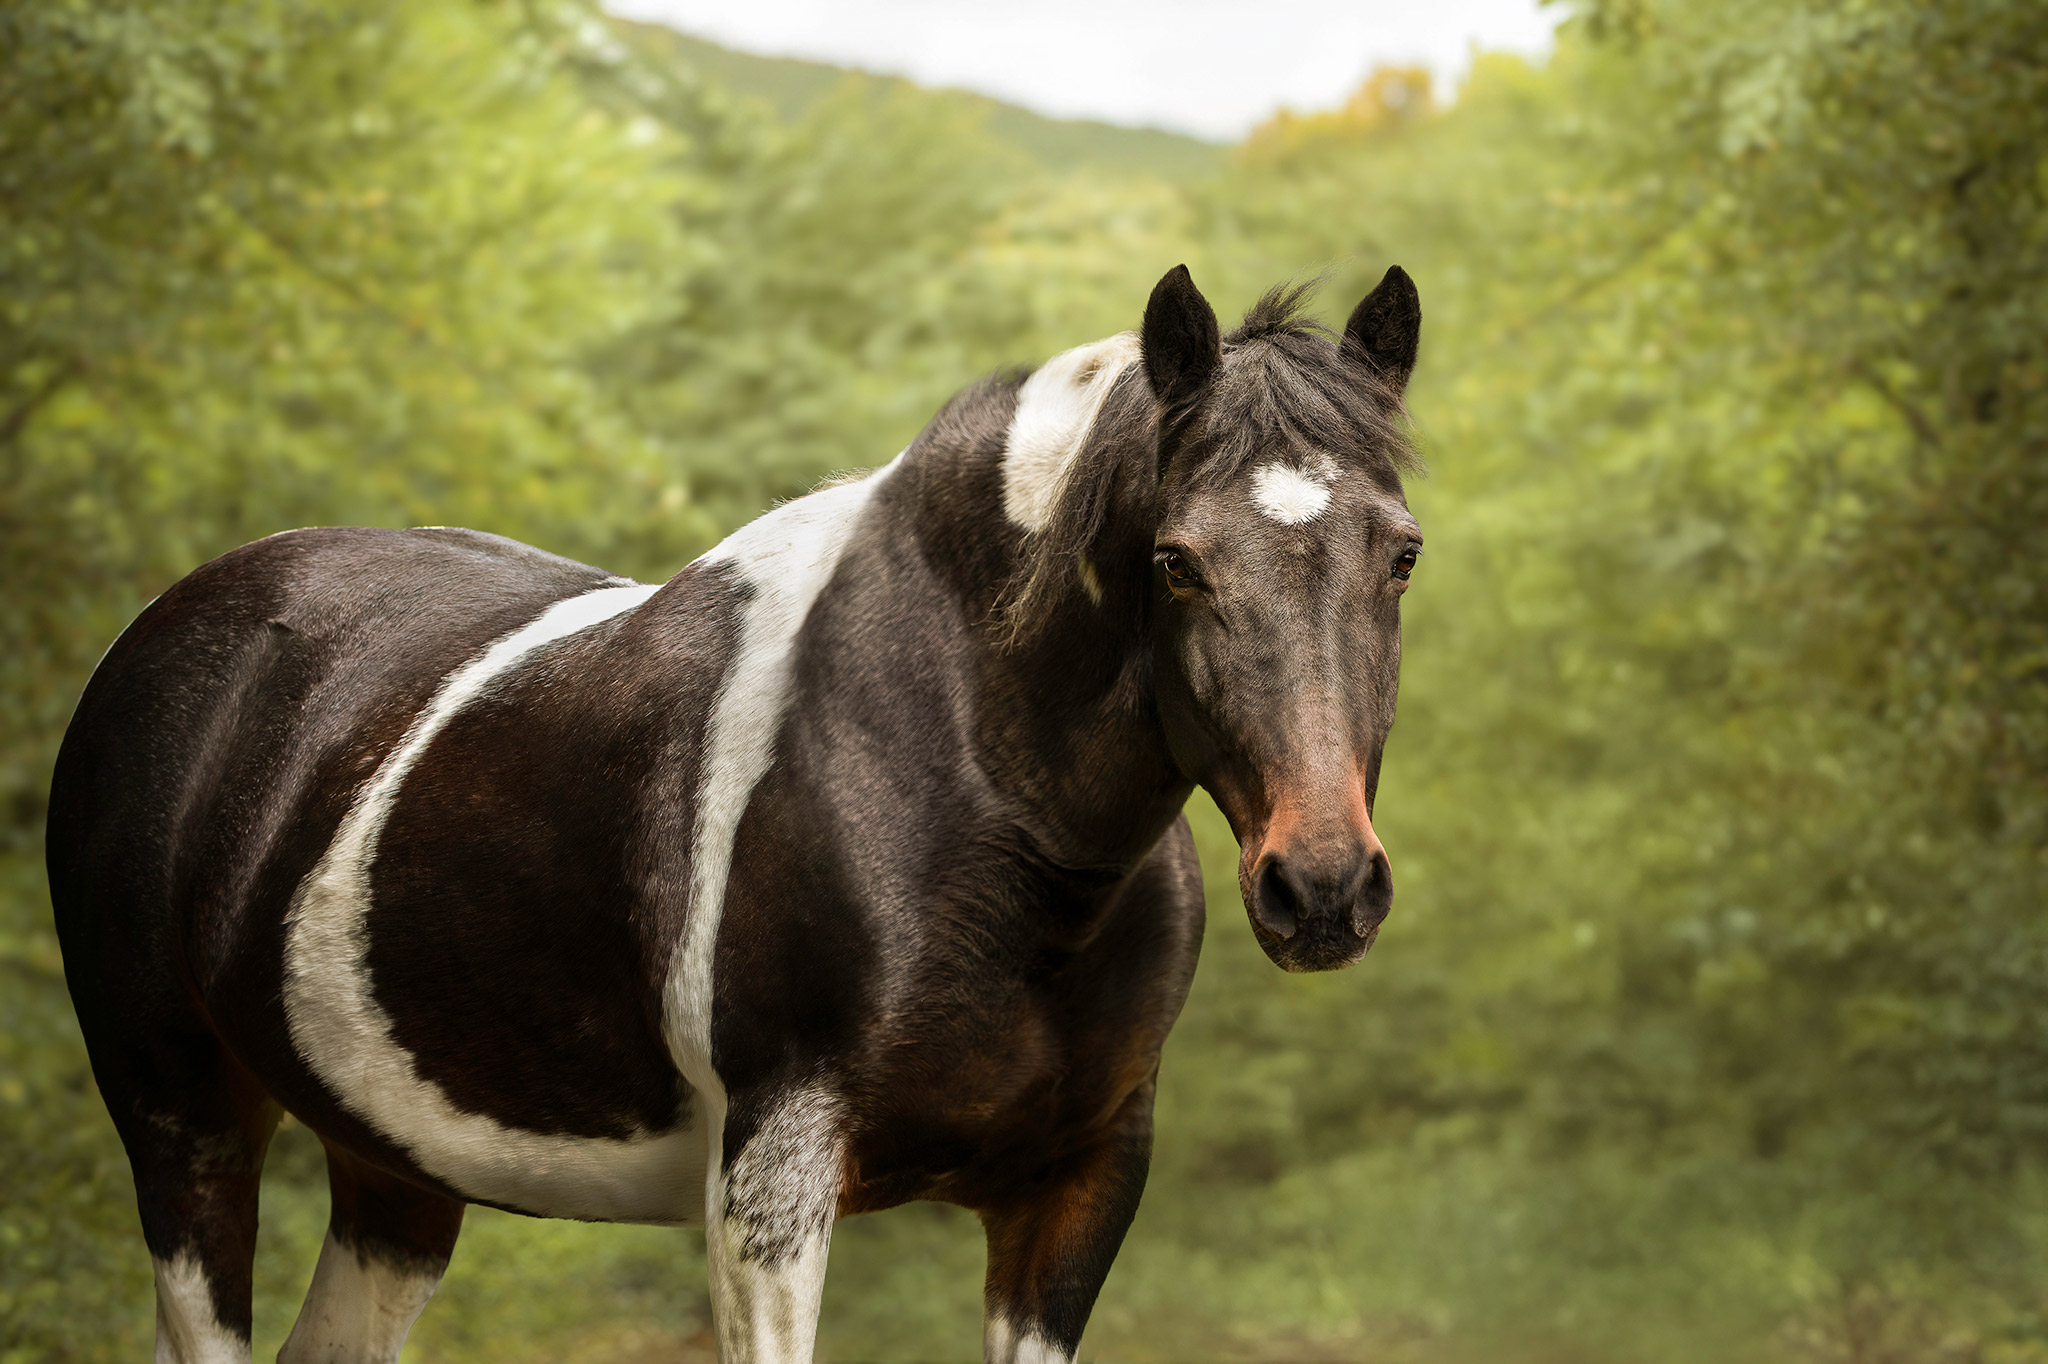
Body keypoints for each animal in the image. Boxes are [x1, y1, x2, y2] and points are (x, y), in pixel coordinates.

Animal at [47, 262, 1424, 1364]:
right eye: (1175, 561)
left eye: (1400, 550)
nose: (1321, 887)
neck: (985, 808)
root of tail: (169, 627)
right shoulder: (774, 1178)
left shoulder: (1078, 1186)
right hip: (182, 1116)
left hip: (392, 1171)